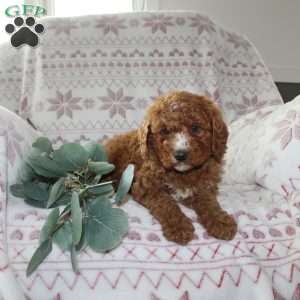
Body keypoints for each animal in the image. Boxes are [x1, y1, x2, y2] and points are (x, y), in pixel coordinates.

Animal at [105, 91, 237, 244]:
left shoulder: (205, 185)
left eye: (195, 128)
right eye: (164, 131)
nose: (180, 154)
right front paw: (179, 227)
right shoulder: (145, 186)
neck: (183, 173)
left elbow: (209, 202)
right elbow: (166, 203)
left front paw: (221, 221)